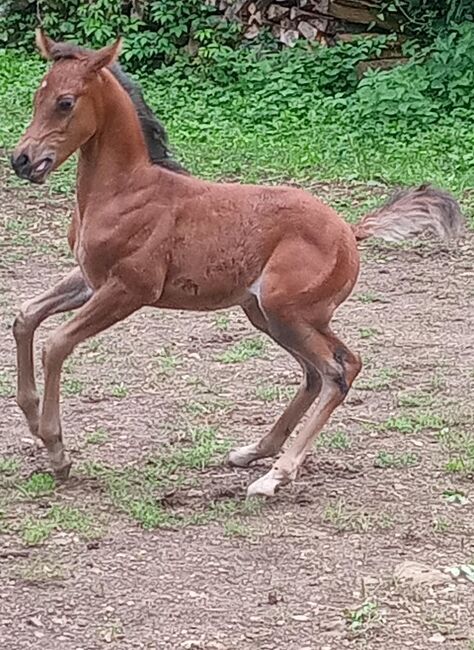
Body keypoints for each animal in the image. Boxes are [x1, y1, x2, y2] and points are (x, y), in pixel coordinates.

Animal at [10, 30, 462, 496]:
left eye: (65, 102)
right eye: (36, 96)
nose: (21, 160)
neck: (126, 190)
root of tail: (350, 231)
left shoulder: (130, 288)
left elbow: (56, 343)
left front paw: (57, 450)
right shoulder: (90, 278)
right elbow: (25, 317)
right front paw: (32, 418)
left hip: (286, 313)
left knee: (335, 372)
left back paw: (275, 474)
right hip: (271, 314)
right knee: (327, 369)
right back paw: (253, 452)